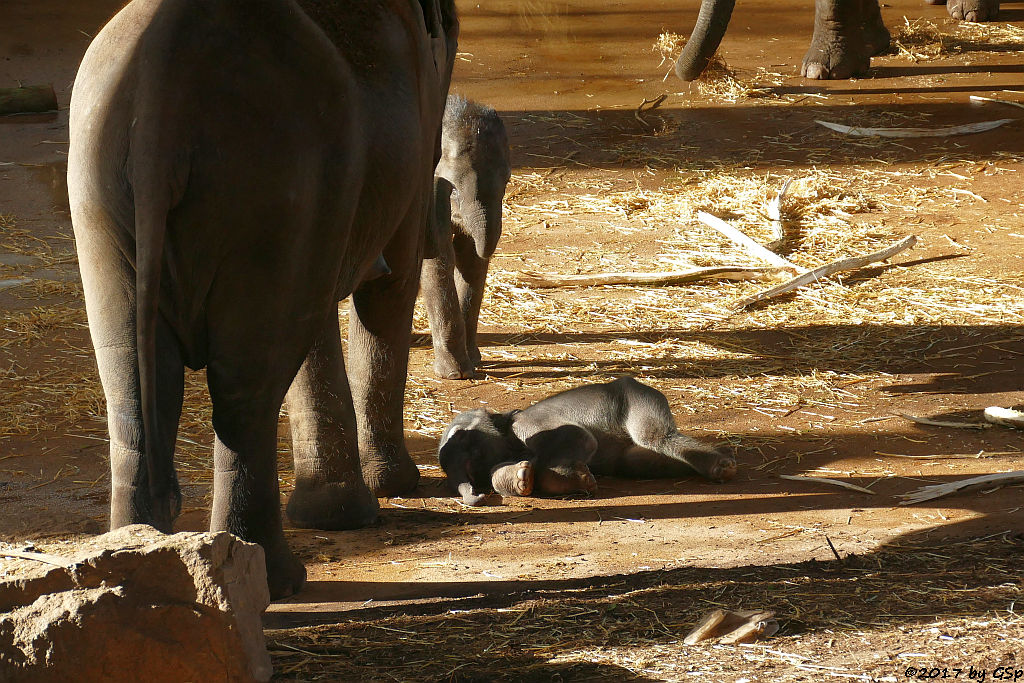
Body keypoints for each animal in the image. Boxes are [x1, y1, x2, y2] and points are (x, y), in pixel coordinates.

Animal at [66, 0, 458, 598]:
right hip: (274, 182)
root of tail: (160, 92)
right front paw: (394, 488)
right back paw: (277, 581)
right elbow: (388, 289)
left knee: (134, 377)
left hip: (100, 185)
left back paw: (135, 563)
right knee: (246, 387)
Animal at [419, 95, 507, 378]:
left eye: (506, 182)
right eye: (454, 190)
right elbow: (437, 262)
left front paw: (475, 361)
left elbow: (470, 261)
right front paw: (456, 374)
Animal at [434, 376, 737, 505]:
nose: (480, 495)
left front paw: (583, 479)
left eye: (465, 440)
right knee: (634, 462)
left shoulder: (531, 427)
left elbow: (580, 436)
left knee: (655, 436)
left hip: (638, 399)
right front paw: (521, 478)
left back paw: (724, 468)